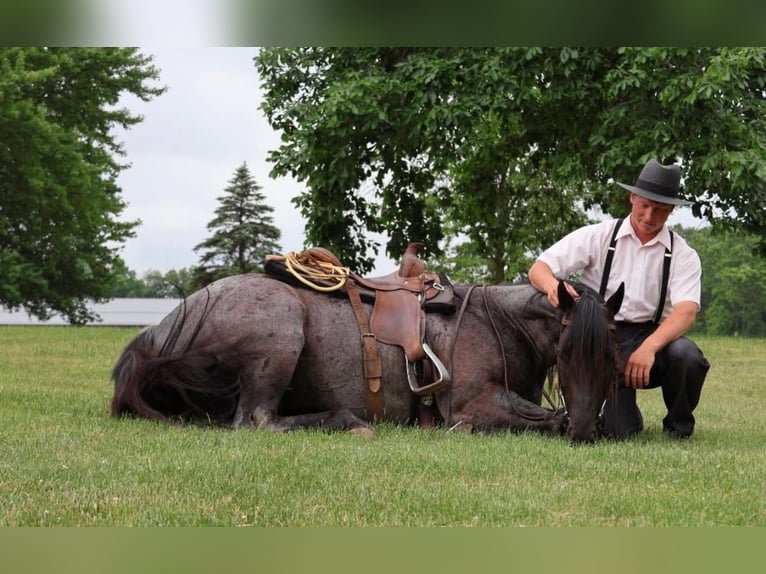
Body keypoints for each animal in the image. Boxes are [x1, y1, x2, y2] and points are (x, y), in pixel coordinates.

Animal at [110, 273, 623, 443]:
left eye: (613, 356)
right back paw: (348, 422)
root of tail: (158, 332)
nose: (585, 430)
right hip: (281, 332)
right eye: (567, 350)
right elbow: (542, 418)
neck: (496, 319)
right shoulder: (472, 405)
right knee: (257, 420)